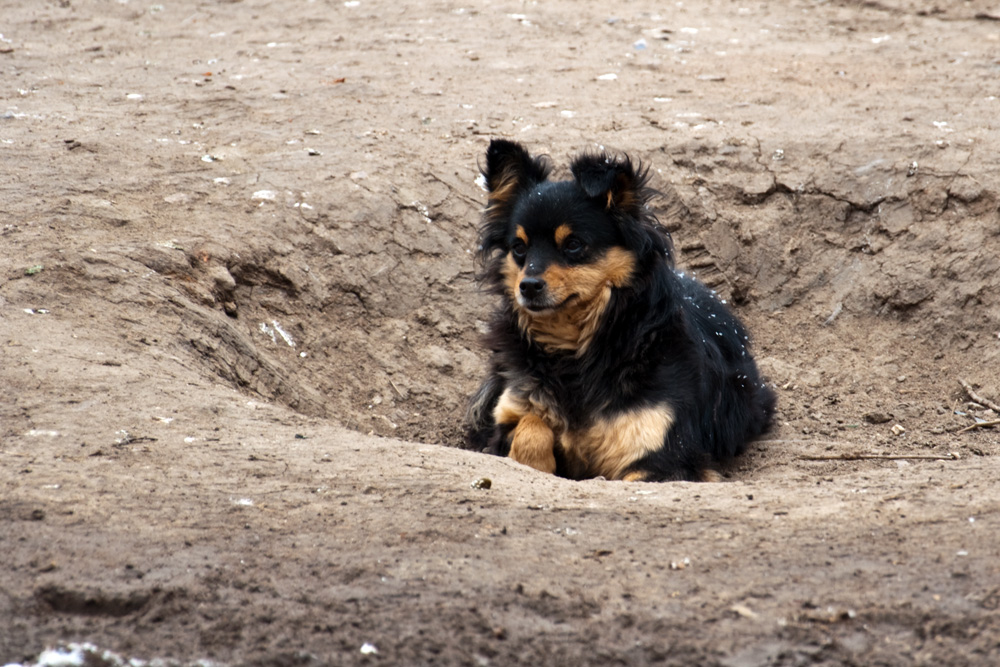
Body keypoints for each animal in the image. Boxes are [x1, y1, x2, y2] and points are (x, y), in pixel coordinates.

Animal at [464, 140, 776, 480]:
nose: (528, 286)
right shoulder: (513, 410)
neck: (574, 351)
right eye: (519, 248)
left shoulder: (663, 458)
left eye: (573, 244)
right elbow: (531, 426)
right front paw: (537, 461)